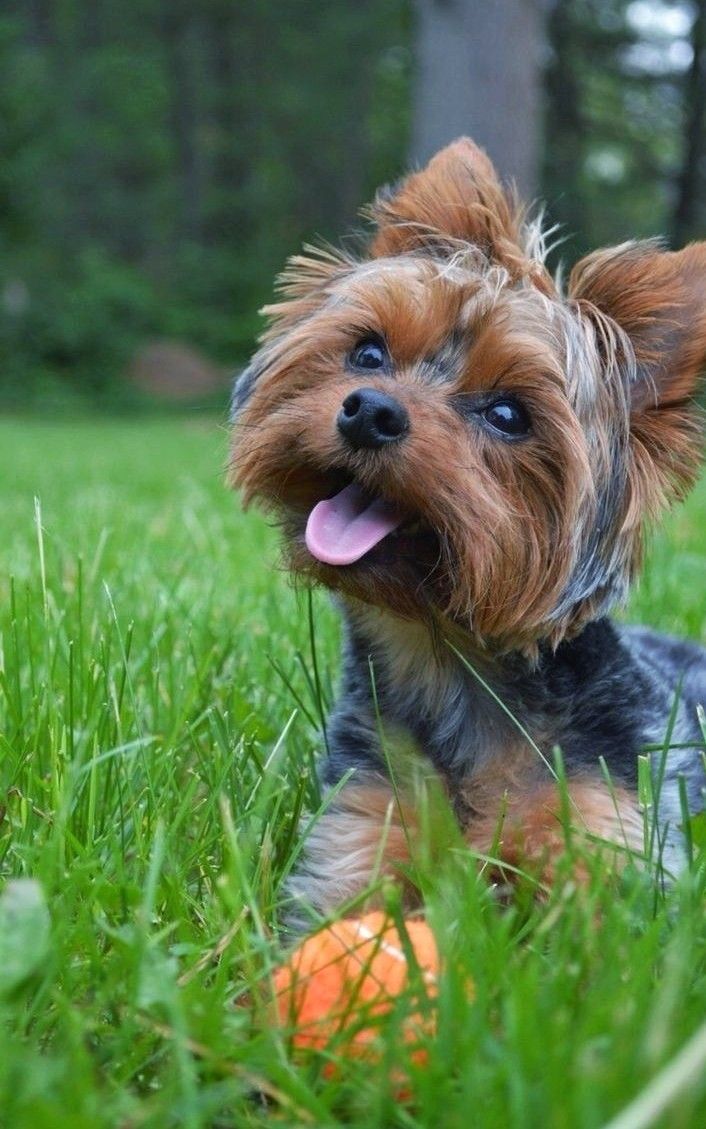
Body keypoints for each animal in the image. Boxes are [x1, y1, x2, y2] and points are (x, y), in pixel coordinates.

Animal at [230, 136, 704, 921]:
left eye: (509, 414)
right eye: (368, 352)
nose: (369, 410)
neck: (450, 659)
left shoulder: (615, 832)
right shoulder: (362, 818)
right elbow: (340, 920)